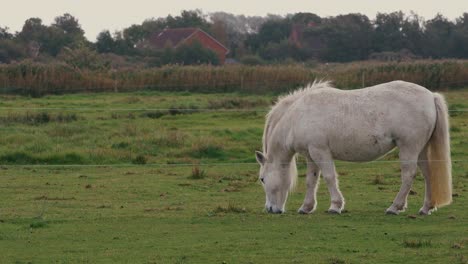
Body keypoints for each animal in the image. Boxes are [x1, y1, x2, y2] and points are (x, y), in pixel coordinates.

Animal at [258, 80, 452, 214]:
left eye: (262, 179)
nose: (270, 209)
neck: (298, 116)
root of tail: (431, 96)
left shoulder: (320, 151)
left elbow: (329, 177)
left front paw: (335, 206)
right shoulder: (311, 154)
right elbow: (311, 181)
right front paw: (306, 207)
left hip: (409, 148)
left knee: (408, 175)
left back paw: (395, 207)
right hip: (420, 150)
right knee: (428, 173)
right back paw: (426, 208)